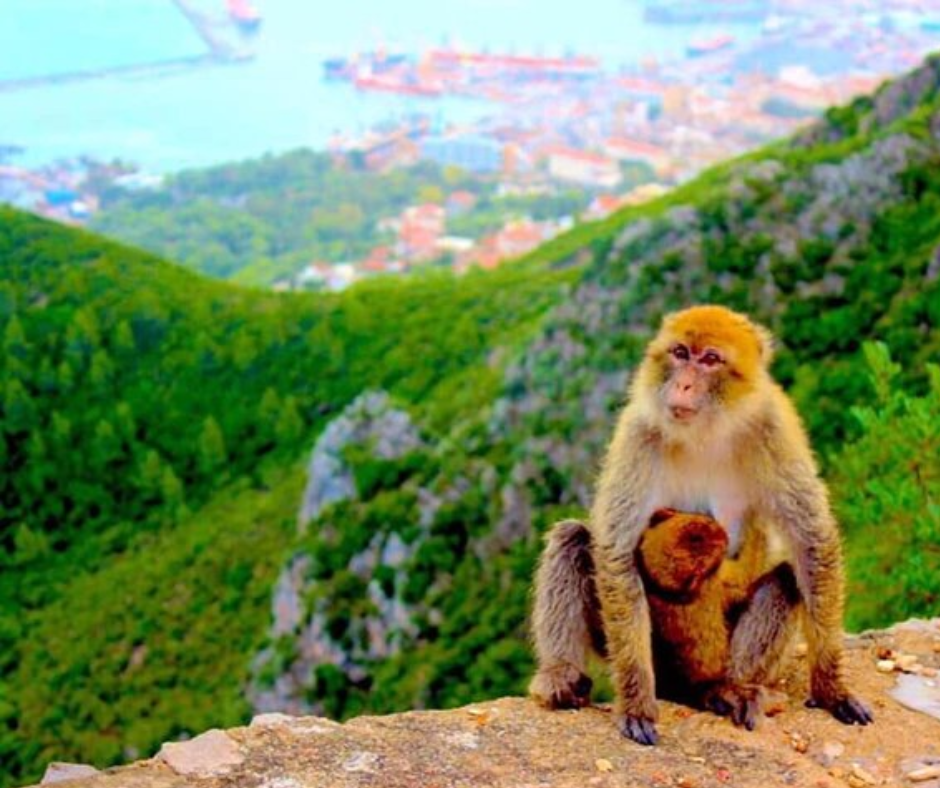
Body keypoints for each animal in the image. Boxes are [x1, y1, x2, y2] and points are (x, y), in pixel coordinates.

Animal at [529, 305, 872, 745]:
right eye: (680, 353)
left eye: (710, 359)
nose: (685, 383)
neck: (705, 430)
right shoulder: (639, 431)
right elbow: (616, 552)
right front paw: (637, 702)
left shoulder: (773, 427)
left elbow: (810, 540)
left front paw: (831, 688)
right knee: (572, 538)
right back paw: (561, 677)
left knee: (786, 581)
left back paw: (728, 689)